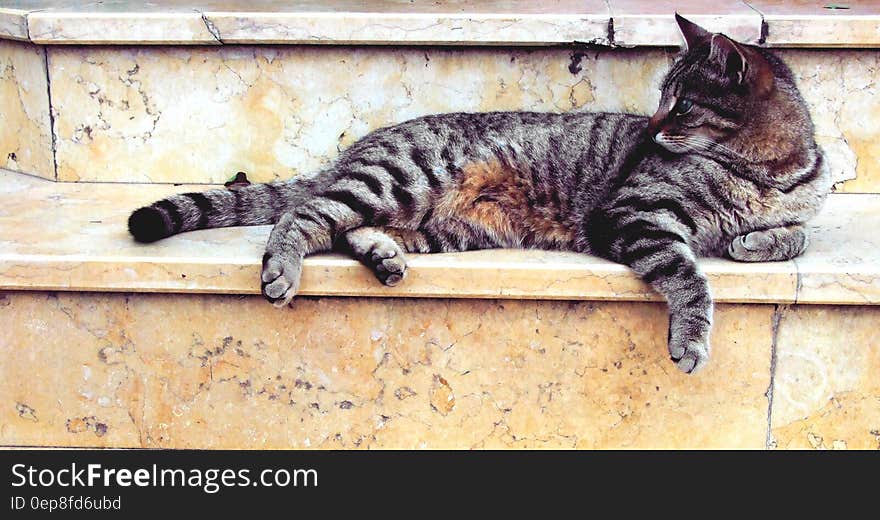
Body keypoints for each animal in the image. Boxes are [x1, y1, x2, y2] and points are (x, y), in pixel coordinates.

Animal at [129, 16, 832, 374]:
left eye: (679, 103)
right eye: (661, 99)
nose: (652, 128)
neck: (767, 170)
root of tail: (357, 149)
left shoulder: (796, 208)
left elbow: (796, 234)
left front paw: (756, 241)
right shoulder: (630, 214)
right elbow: (688, 275)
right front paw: (693, 334)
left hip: (446, 226)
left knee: (349, 227)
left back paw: (383, 256)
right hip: (403, 179)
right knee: (307, 213)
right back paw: (281, 267)